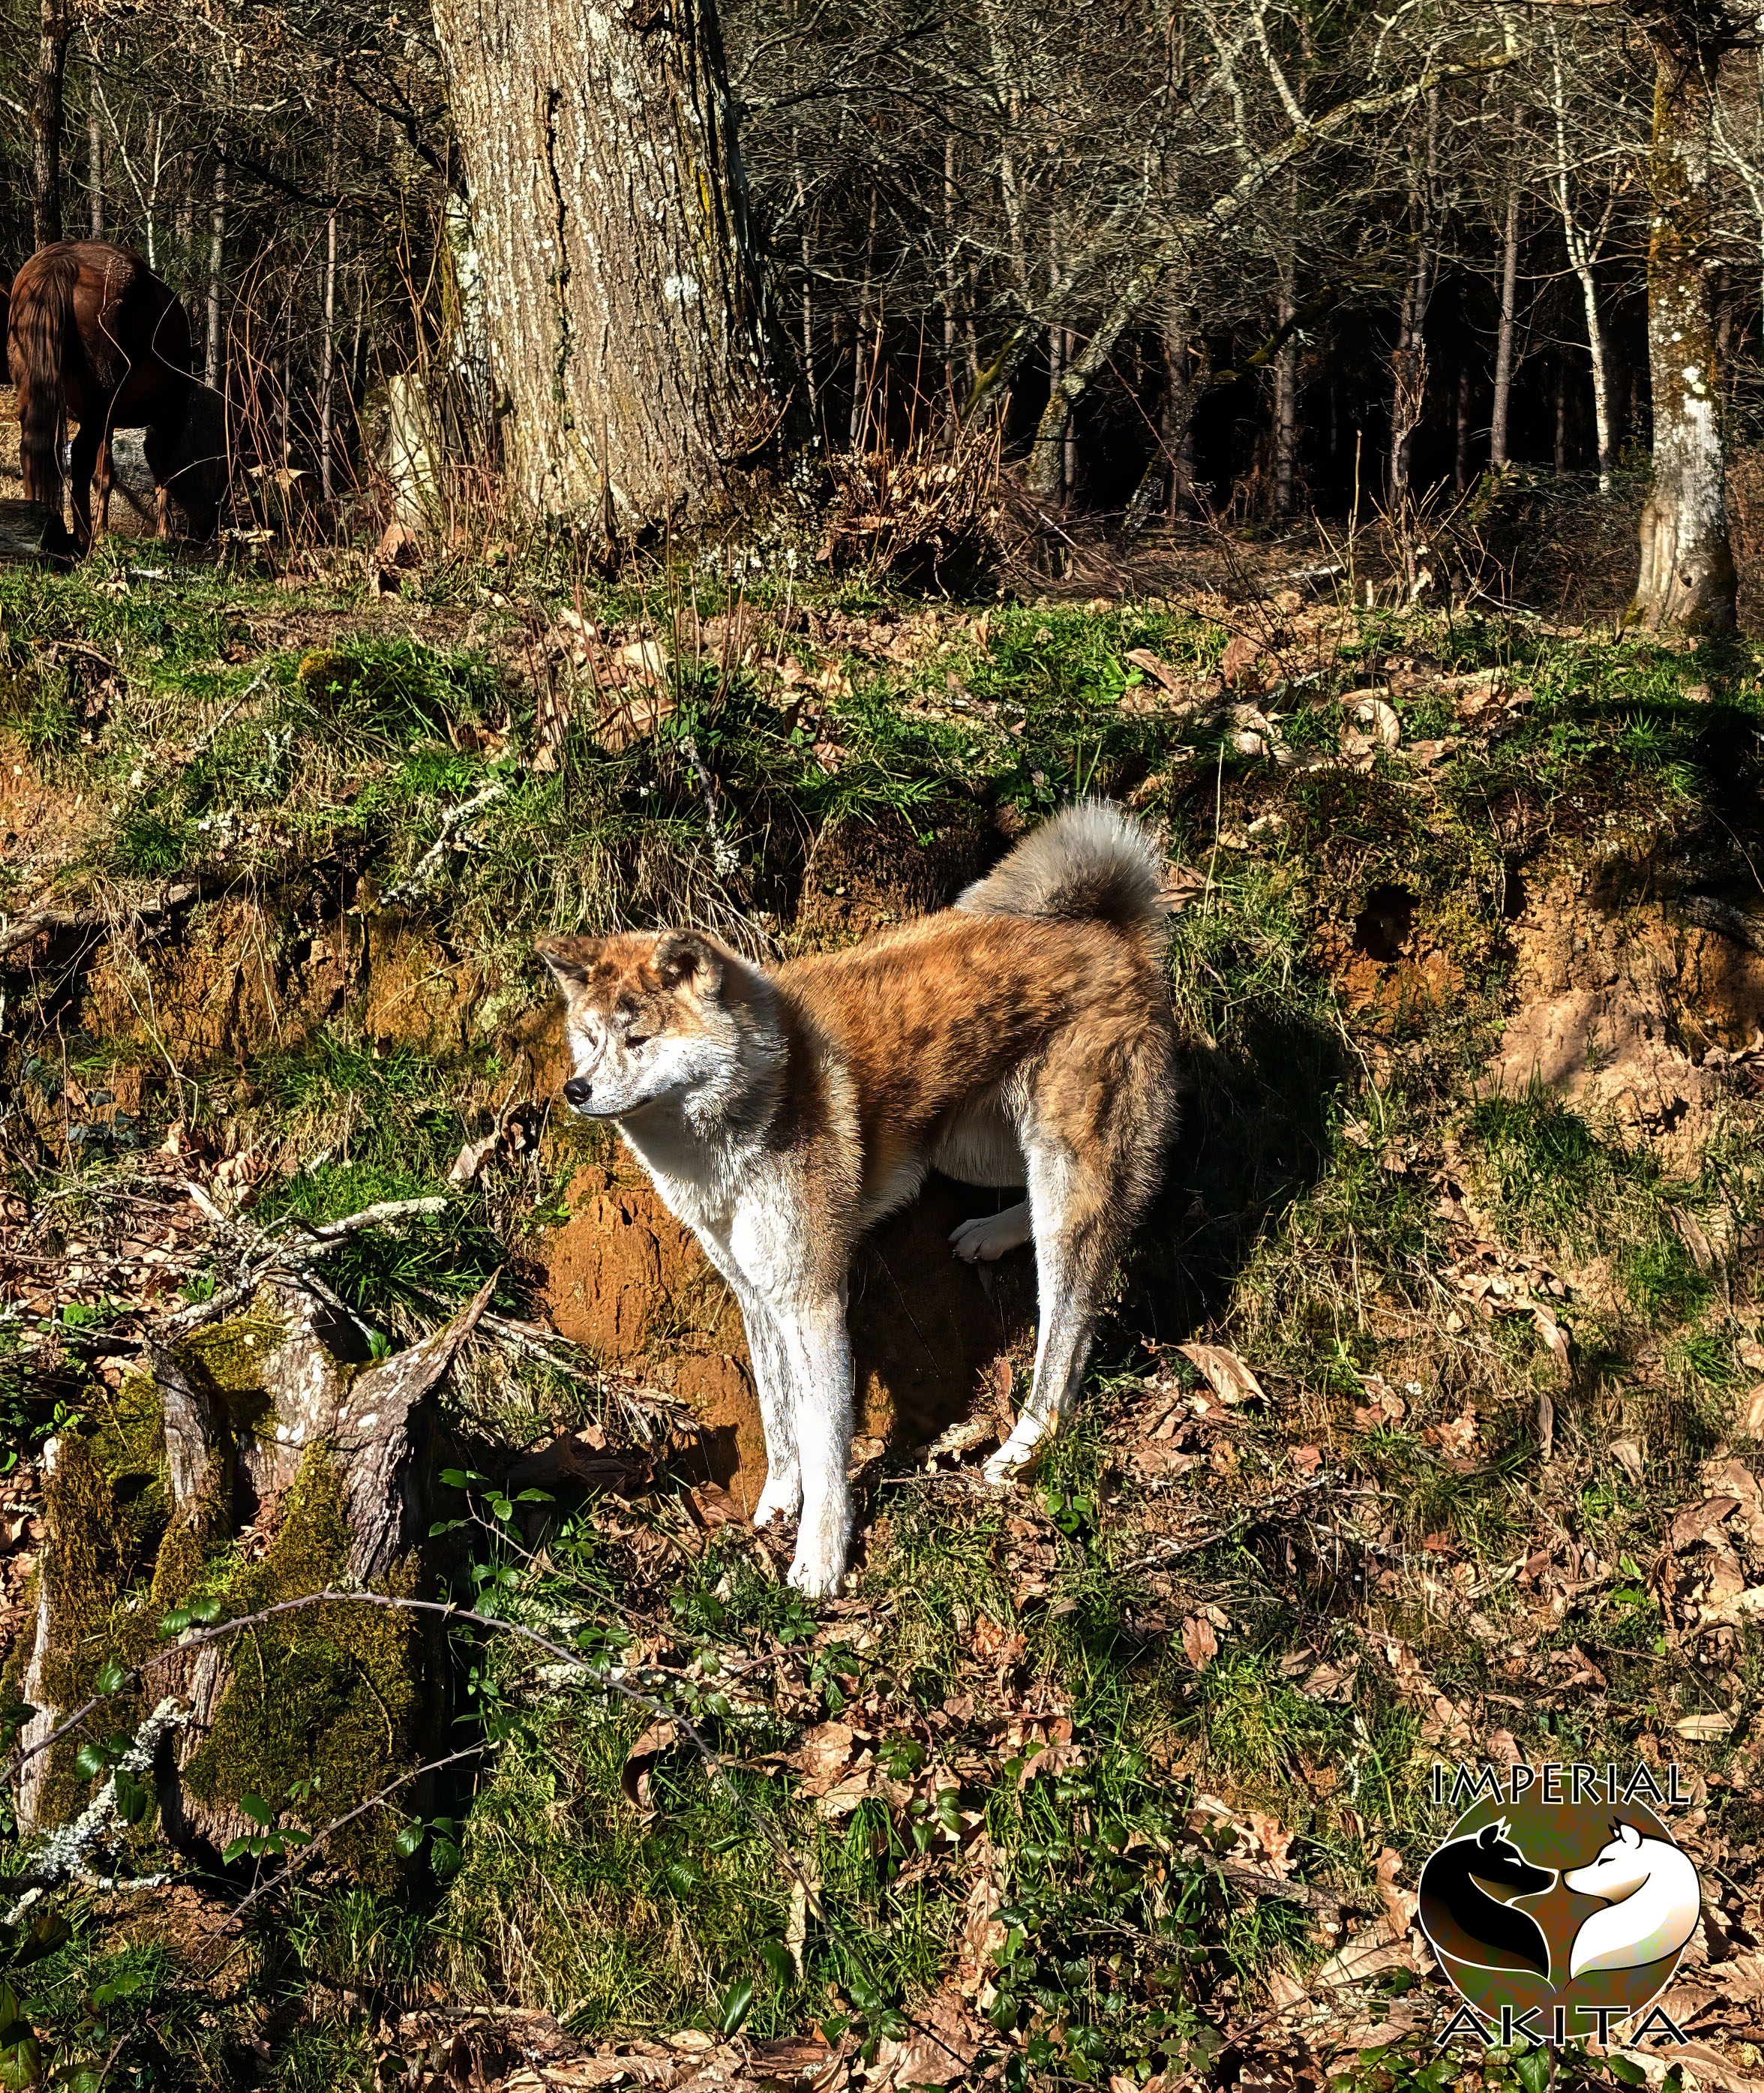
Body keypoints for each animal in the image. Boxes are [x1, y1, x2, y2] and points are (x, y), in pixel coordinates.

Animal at [6, 240, 224, 556]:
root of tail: (61, 263)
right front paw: (164, 533)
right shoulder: (159, 418)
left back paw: (44, 527)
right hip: (97, 409)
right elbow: (158, 471)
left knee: (33, 452)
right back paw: (85, 536)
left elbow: (105, 472)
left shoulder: (108, 419)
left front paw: (104, 530)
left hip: (39, 393)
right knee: (81, 459)